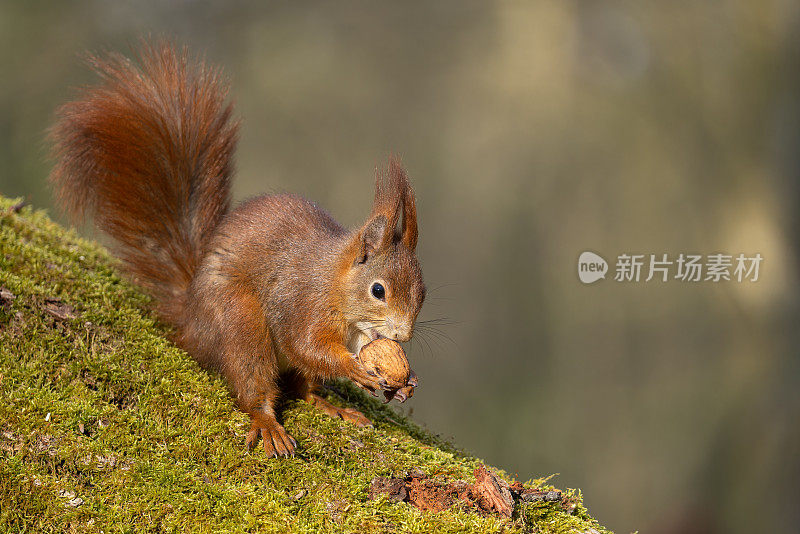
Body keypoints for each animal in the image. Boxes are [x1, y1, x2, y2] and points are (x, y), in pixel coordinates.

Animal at [48, 44, 424, 458]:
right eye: (378, 290)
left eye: (423, 293)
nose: (404, 336)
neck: (337, 289)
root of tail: (191, 322)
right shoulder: (301, 304)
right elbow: (307, 346)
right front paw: (356, 369)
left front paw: (406, 382)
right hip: (239, 320)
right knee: (253, 382)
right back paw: (267, 423)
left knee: (303, 388)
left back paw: (331, 406)